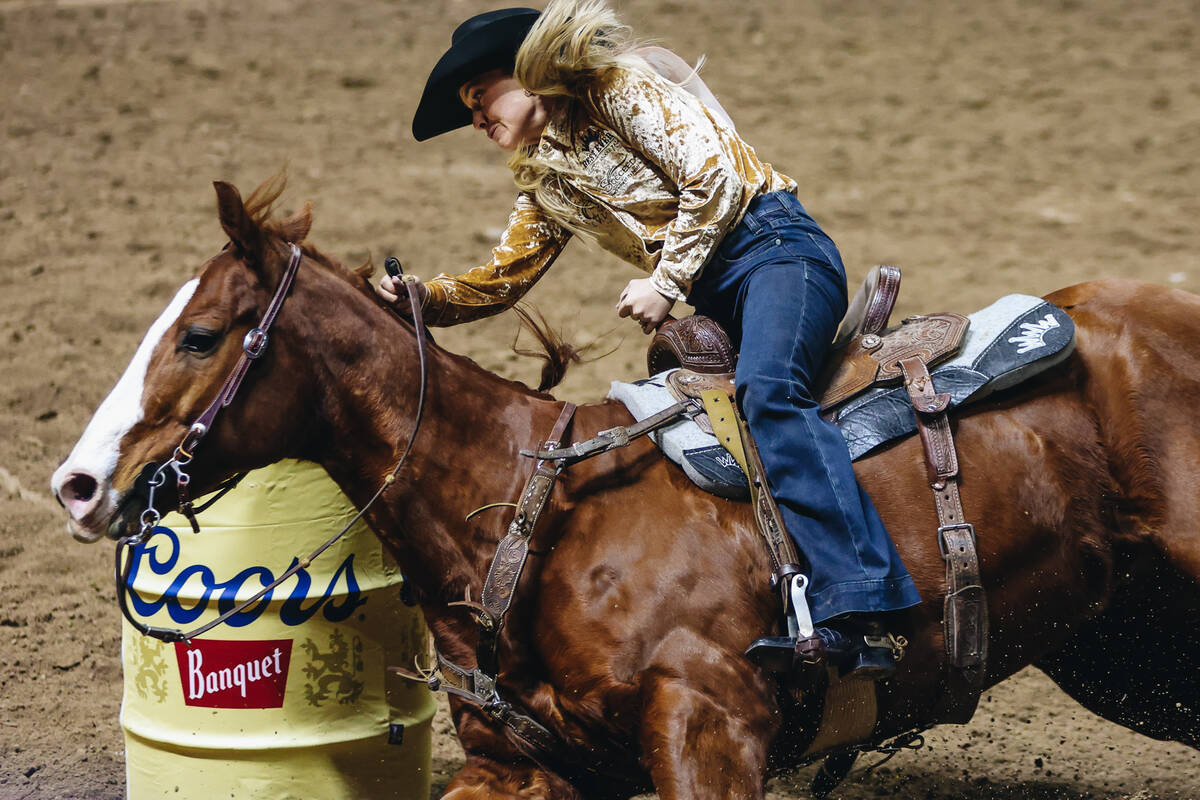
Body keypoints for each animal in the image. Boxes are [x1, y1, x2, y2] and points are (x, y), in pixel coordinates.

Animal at [51, 183, 1200, 800]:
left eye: (202, 334)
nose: (76, 483)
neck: (528, 513)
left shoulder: (712, 728)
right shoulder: (526, 766)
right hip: (1125, 647)